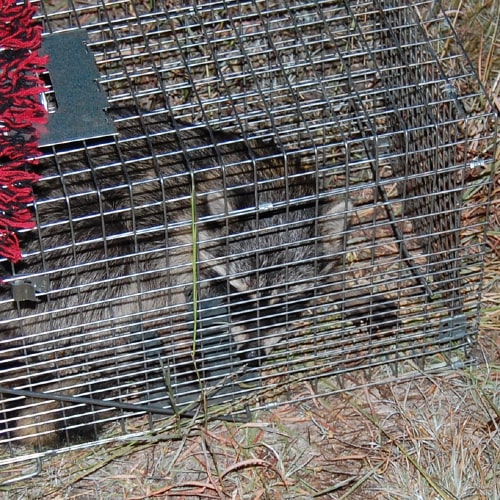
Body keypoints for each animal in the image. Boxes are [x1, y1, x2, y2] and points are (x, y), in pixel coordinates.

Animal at [0, 109, 352, 446]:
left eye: (286, 304)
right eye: (239, 295)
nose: (251, 356)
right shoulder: (161, 230)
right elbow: (156, 291)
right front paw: (180, 338)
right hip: (65, 243)